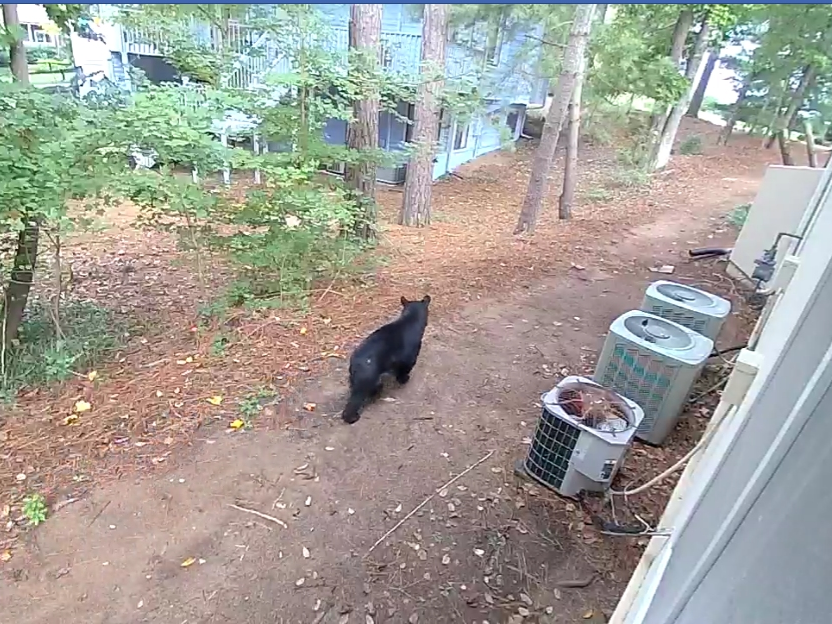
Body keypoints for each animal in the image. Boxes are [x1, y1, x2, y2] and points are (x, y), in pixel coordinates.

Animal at [341, 295, 431, 424]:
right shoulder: (409, 357)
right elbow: (404, 370)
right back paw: (354, 416)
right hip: (366, 382)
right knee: (354, 402)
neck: (410, 319)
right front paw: (404, 379)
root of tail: (355, 364)